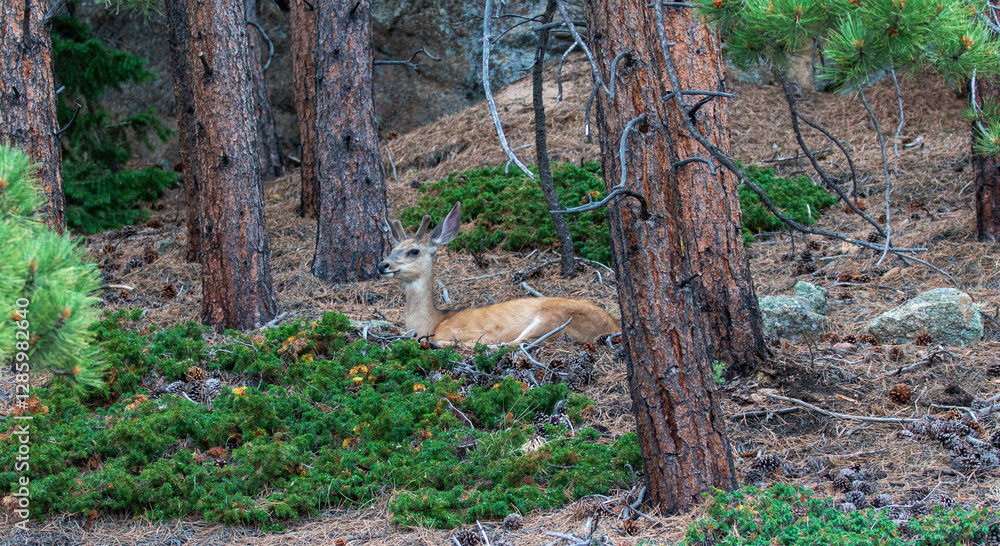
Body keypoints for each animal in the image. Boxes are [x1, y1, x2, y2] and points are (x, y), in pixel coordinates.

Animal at [378, 202, 620, 346]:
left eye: (414, 251)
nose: (382, 265)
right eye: (392, 249)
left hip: (553, 318)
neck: (433, 322)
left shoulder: (473, 331)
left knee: (515, 344)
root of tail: (614, 327)